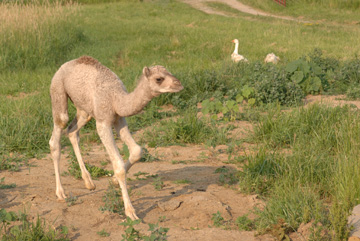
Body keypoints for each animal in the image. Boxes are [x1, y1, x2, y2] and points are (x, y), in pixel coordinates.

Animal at [48, 55, 183, 219]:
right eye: (159, 79)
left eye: (169, 72)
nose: (179, 84)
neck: (116, 99)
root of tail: (64, 65)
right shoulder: (103, 122)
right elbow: (118, 165)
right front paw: (131, 212)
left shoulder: (119, 119)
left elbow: (137, 151)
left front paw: (112, 180)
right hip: (58, 89)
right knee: (58, 132)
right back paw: (61, 193)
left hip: (84, 109)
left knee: (72, 131)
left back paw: (89, 182)